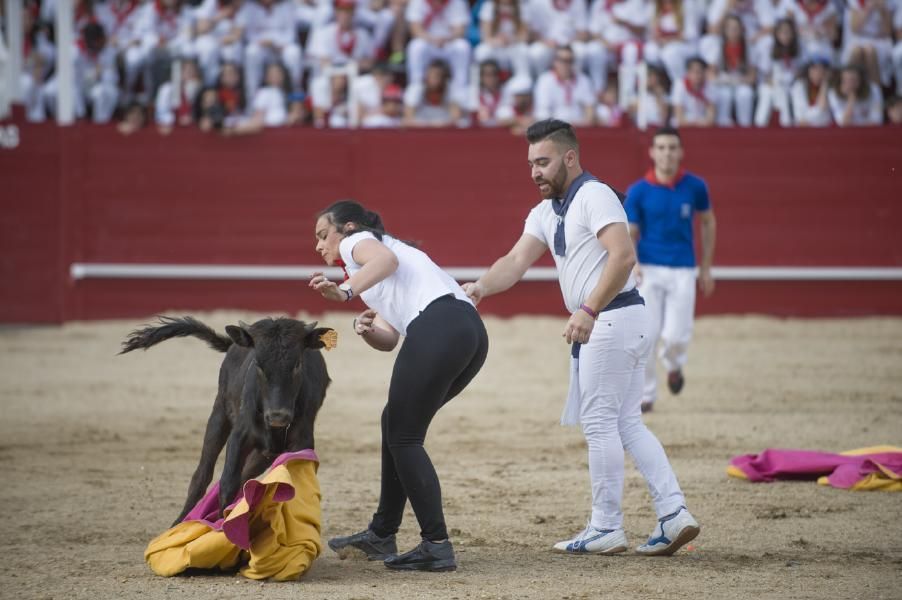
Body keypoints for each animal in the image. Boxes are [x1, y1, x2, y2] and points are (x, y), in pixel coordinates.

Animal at [118, 316, 334, 524]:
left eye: (297, 364)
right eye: (258, 365)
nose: (278, 416)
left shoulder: (301, 441)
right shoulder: (239, 436)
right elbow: (227, 483)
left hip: (264, 452)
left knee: (245, 475)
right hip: (219, 414)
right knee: (202, 475)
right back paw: (181, 521)